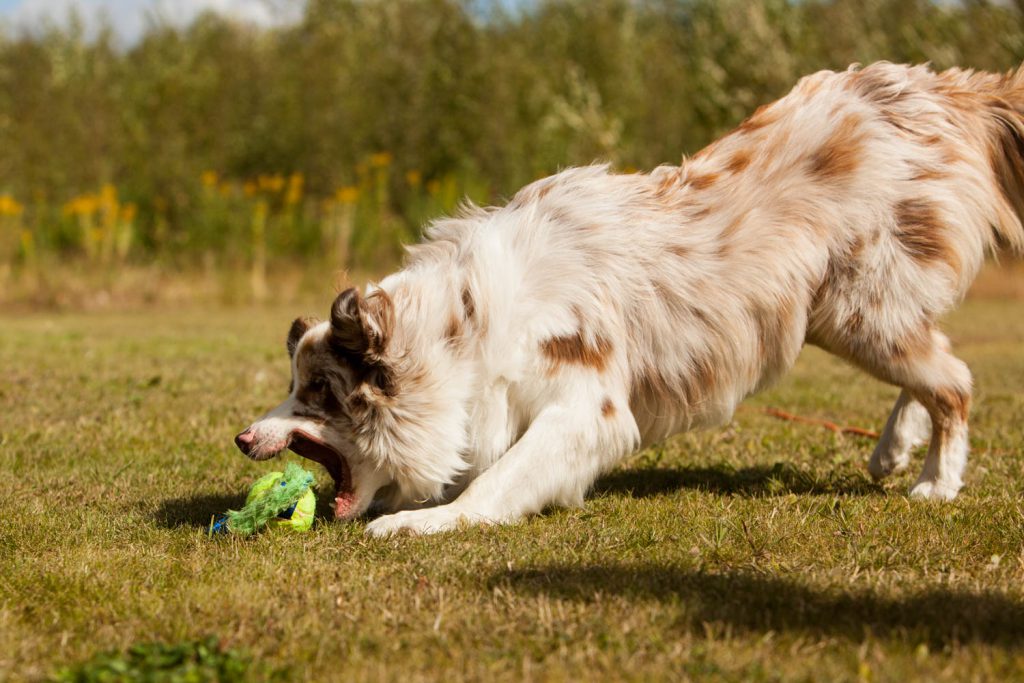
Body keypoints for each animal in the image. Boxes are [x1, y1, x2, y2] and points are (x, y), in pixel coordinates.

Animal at [234, 62, 1024, 532]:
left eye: (316, 393)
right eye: (294, 385)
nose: (241, 438)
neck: (463, 327)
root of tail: (943, 89)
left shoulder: (588, 405)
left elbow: (500, 479)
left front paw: (422, 522)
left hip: (863, 311)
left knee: (955, 379)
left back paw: (936, 481)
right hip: (845, 315)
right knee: (935, 362)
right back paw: (893, 448)